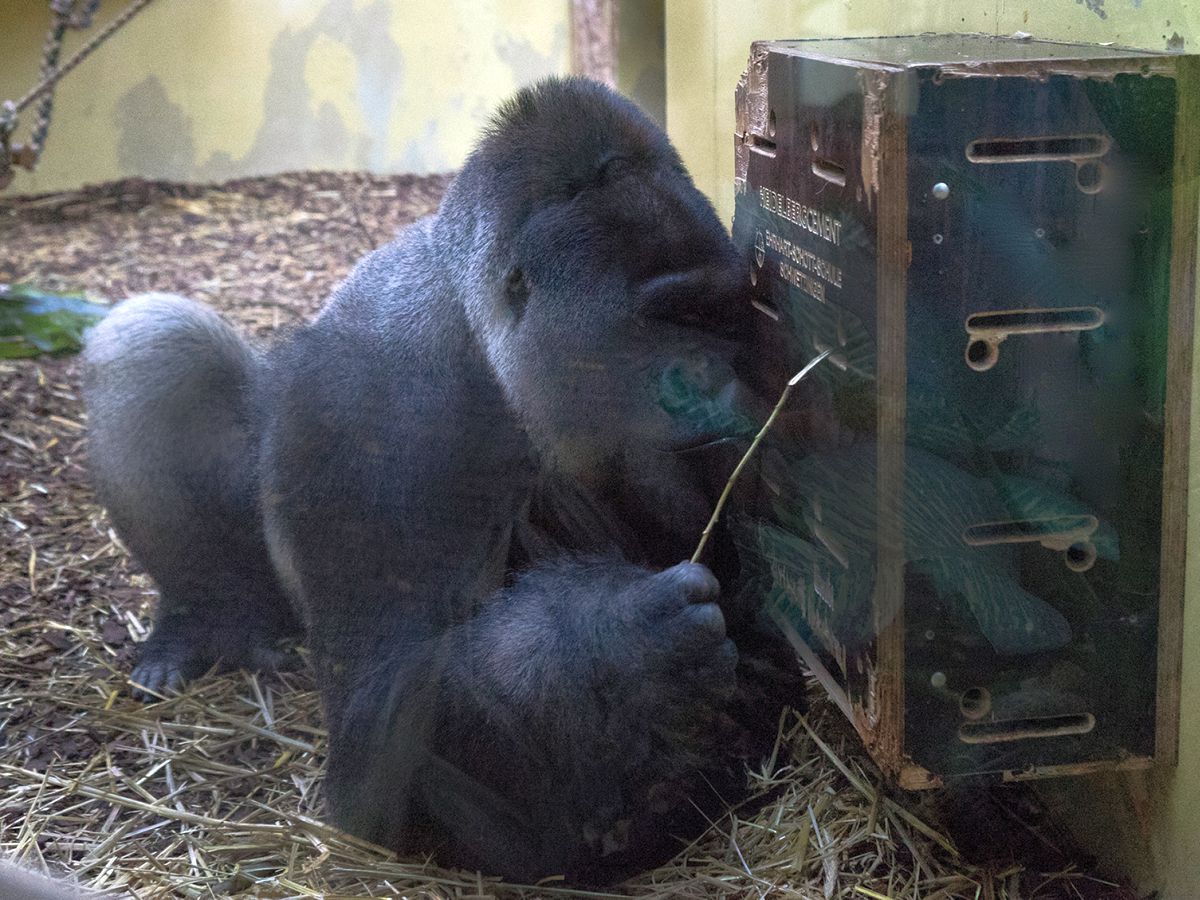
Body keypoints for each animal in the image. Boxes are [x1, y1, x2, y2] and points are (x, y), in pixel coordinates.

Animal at [82, 77, 802, 882]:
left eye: (717, 314)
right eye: (667, 316)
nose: (705, 378)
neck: (477, 327)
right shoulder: (373, 406)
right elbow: (379, 736)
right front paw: (614, 651)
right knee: (155, 346)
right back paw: (205, 620)